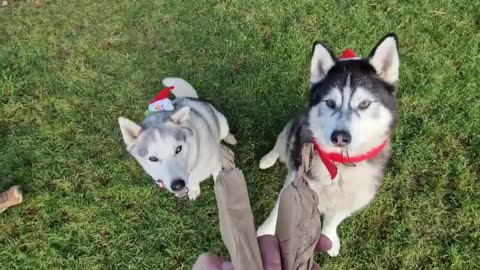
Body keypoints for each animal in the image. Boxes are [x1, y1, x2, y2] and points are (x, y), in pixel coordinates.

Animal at [256, 34, 400, 258]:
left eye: (365, 104)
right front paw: (265, 232)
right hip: (291, 129)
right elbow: (278, 212)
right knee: (280, 145)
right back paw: (267, 159)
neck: (339, 165)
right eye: (330, 103)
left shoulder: (352, 198)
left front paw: (329, 238)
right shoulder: (294, 183)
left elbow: (334, 220)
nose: (340, 137)